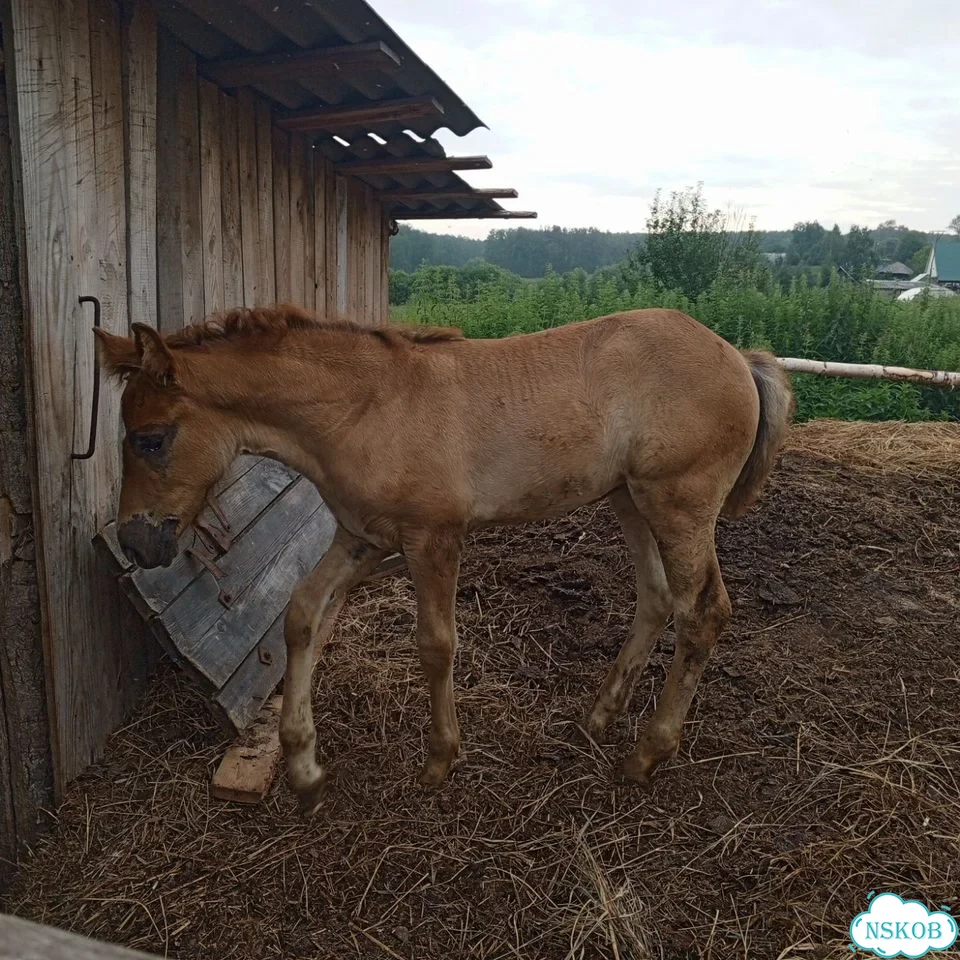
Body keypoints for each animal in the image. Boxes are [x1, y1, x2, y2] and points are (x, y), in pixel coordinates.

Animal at [94, 305, 794, 817]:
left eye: (149, 439)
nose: (137, 543)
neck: (366, 408)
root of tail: (738, 356)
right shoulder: (362, 537)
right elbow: (300, 617)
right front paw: (304, 768)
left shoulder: (432, 537)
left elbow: (435, 644)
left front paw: (439, 760)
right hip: (629, 499)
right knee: (656, 596)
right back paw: (599, 717)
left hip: (679, 503)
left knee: (702, 612)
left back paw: (647, 754)